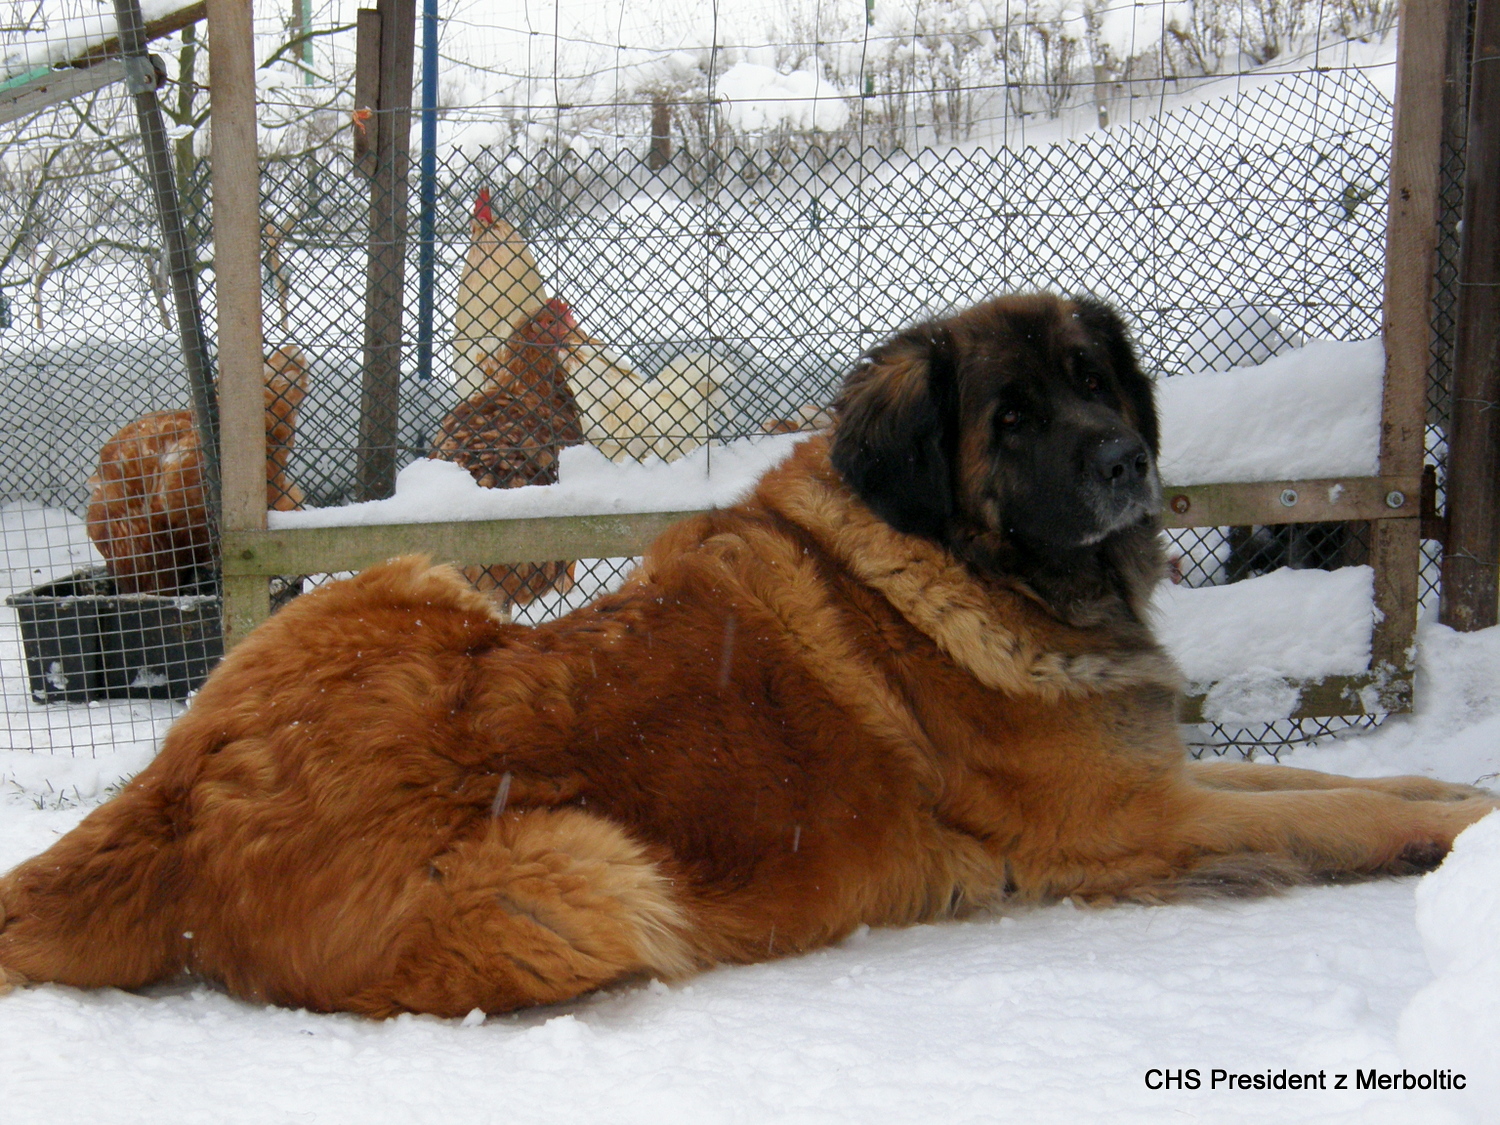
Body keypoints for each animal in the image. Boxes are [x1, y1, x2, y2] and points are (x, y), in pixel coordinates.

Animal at [2, 295, 1500, 1020]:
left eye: (1095, 380)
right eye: (1012, 419)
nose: (1130, 460)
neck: (961, 562)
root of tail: (178, 790)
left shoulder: (1159, 781)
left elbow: (1344, 788)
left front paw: (1465, 803)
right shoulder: (1132, 819)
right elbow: (1331, 815)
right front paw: (1448, 831)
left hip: (404, 583)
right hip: (594, 875)